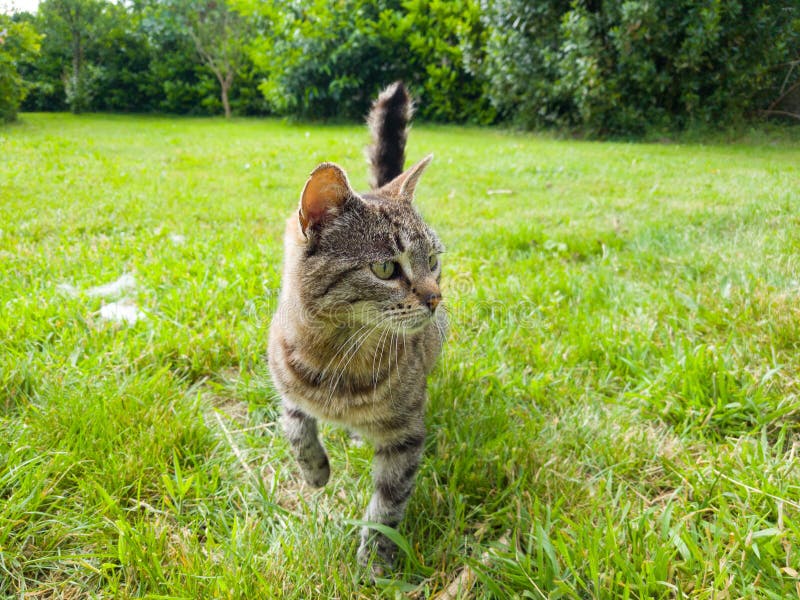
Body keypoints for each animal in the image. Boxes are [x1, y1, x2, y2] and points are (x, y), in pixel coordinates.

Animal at [268, 82, 444, 576]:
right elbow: (294, 426)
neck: (336, 353)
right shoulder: (285, 381)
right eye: (386, 268)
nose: (435, 297)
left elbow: (388, 504)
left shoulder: (406, 436)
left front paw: (375, 562)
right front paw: (315, 470)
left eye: (433, 260)